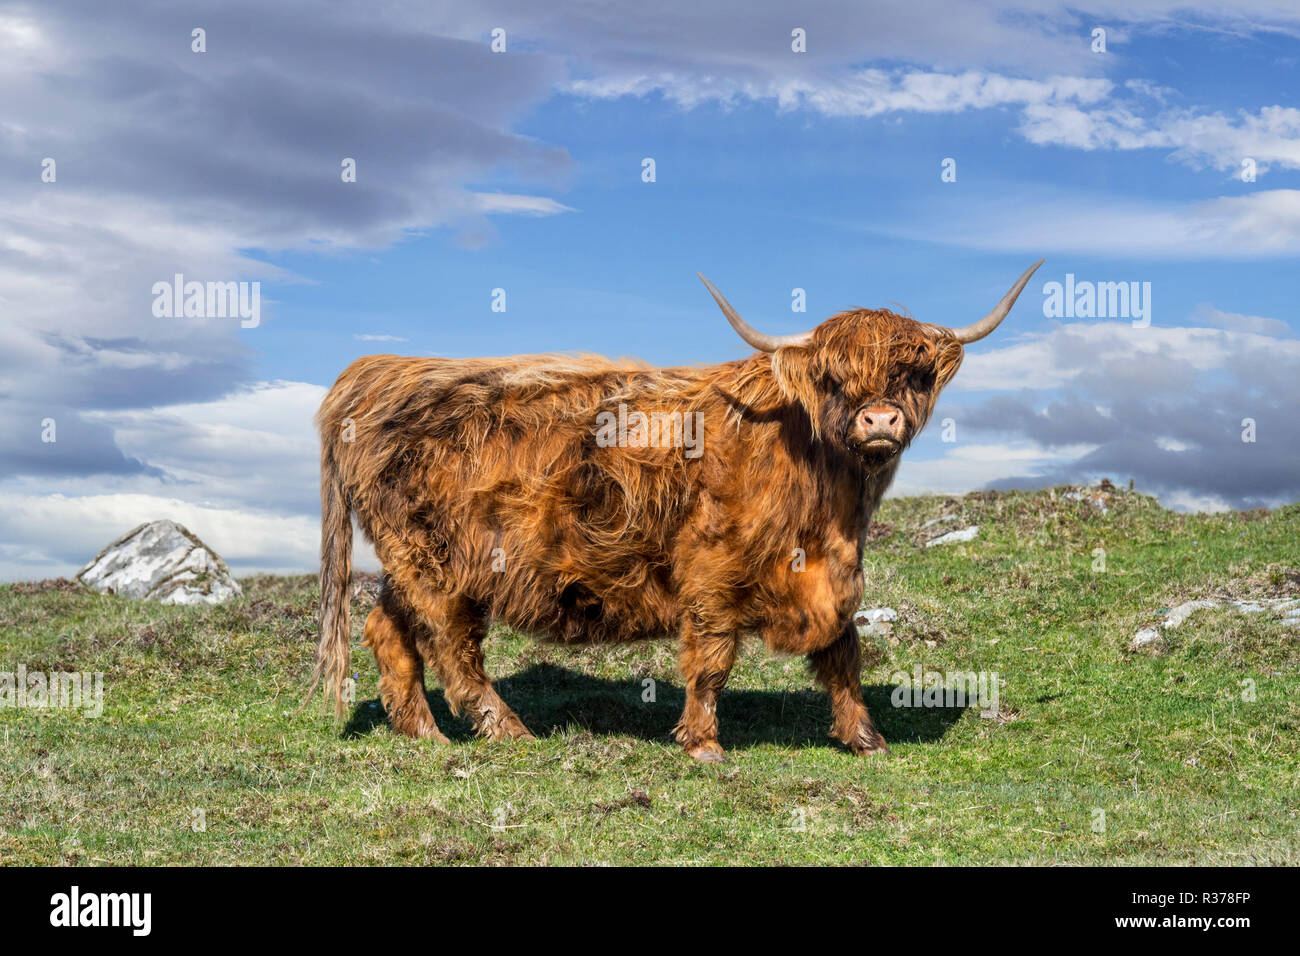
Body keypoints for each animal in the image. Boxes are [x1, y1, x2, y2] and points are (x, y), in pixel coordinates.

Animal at [309, 257, 1040, 759]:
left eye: (911, 375)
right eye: (834, 380)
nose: (881, 419)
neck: (827, 498)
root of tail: (378, 372)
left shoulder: (835, 574)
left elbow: (842, 652)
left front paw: (865, 738)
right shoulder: (712, 572)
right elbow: (712, 658)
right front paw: (703, 743)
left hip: (411, 560)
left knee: (390, 630)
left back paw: (423, 734)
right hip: (436, 563)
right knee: (450, 647)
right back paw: (508, 731)